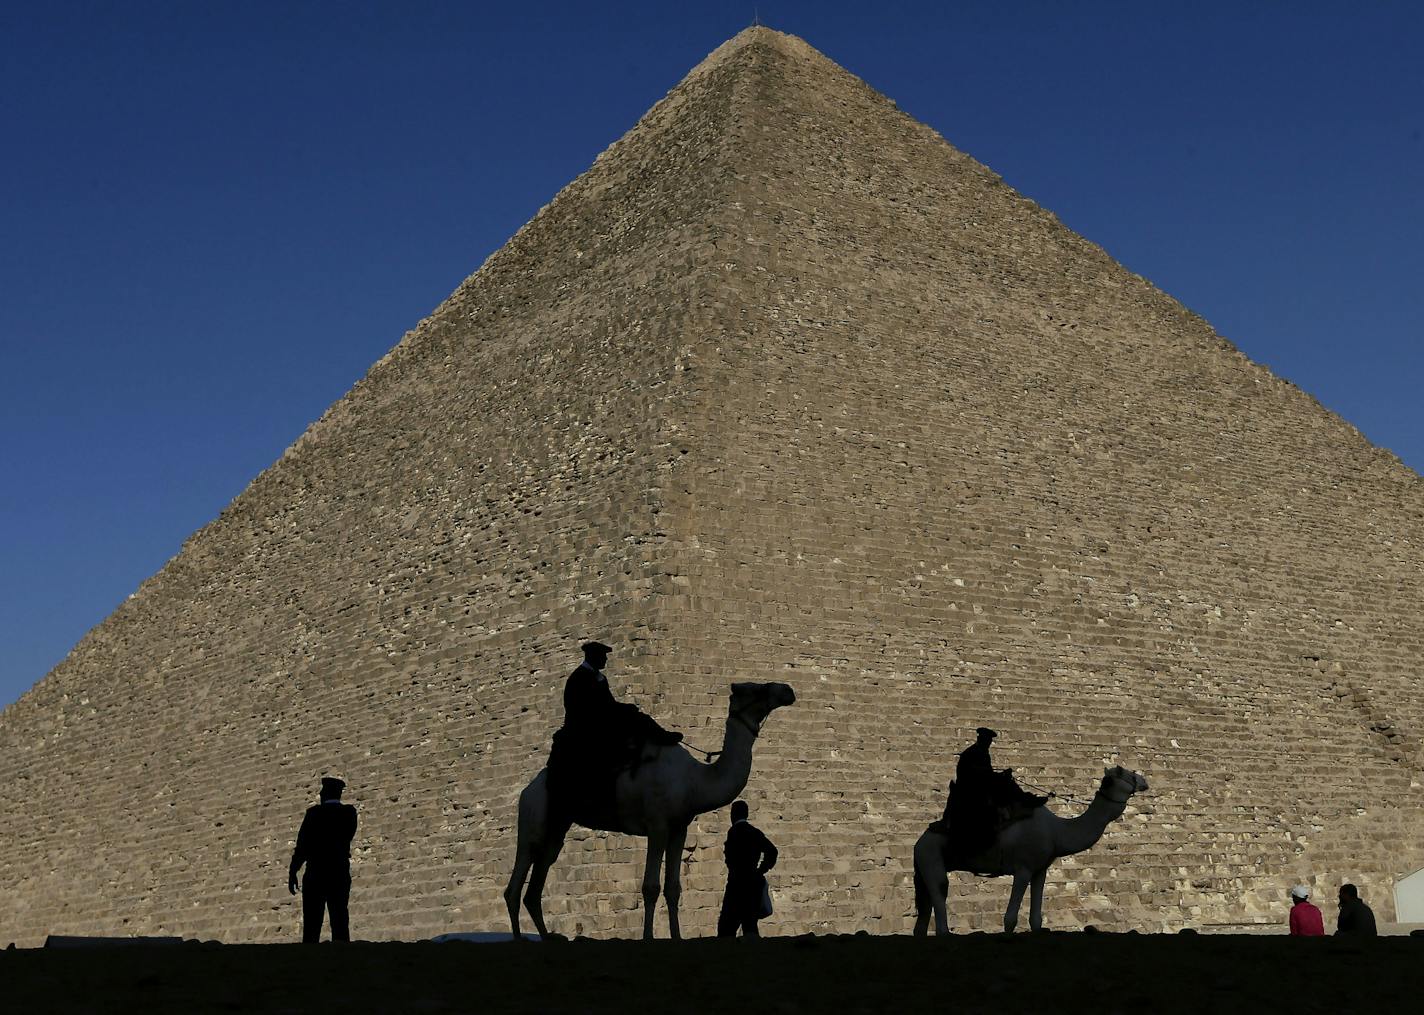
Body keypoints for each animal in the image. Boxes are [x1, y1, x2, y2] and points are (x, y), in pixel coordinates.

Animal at [504, 677, 797, 939]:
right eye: (754, 689)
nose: (787, 690)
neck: (695, 780)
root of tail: (528, 789)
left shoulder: (679, 828)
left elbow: (673, 888)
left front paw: (677, 936)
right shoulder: (657, 825)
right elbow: (650, 887)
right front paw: (647, 937)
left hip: (557, 827)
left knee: (536, 883)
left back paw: (546, 937)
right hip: (533, 818)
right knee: (515, 884)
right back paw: (519, 938)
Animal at [917, 763, 1150, 928]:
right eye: (1126, 774)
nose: (1144, 780)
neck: (1056, 831)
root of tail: (919, 841)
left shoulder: (1040, 870)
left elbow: (1036, 919)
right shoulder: (1023, 869)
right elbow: (1010, 918)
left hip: (923, 868)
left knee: (923, 915)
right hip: (931, 857)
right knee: (941, 902)